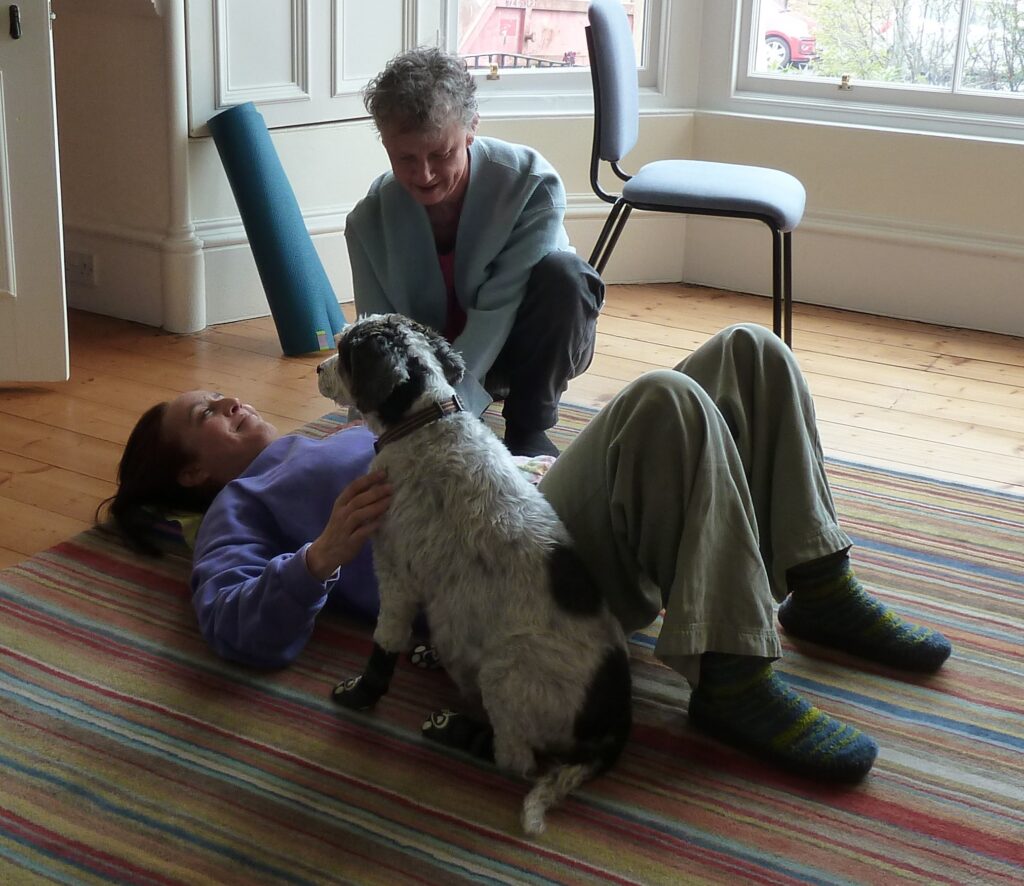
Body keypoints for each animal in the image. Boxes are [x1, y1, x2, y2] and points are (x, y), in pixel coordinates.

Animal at [315, 315, 630, 831]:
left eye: (344, 353)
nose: (318, 368)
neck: (426, 421)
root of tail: (614, 728)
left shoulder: (396, 574)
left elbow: (383, 646)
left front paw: (361, 693)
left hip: (506, 673)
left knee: (517, 759)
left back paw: (454, 728)